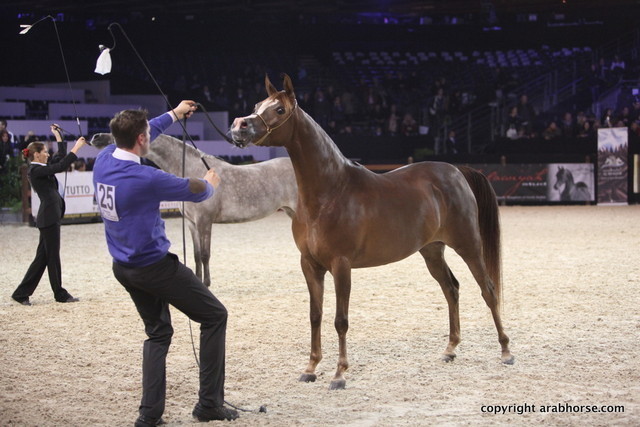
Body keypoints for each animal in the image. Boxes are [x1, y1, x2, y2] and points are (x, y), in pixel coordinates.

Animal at [91, 133, 297, 287]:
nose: (96, 137)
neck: (195, 172)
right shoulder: (191, 223)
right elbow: (196, 254)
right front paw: (199, 280)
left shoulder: (204, 221)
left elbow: (206, 254)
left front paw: (207, 283)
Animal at [229, 74, 514, 390]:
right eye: (257, 105)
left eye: (279, 110)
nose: (239, 126)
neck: (330, 192)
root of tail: (457, 171)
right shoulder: (309, 265)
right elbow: (315, 315)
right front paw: (311, 368)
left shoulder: (341, 265)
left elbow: (340, 320)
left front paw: (339, 374)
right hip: (432, 251)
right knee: (451, 289)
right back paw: (450, 350)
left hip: (468, 245)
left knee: (488, 290)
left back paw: (505, 351)